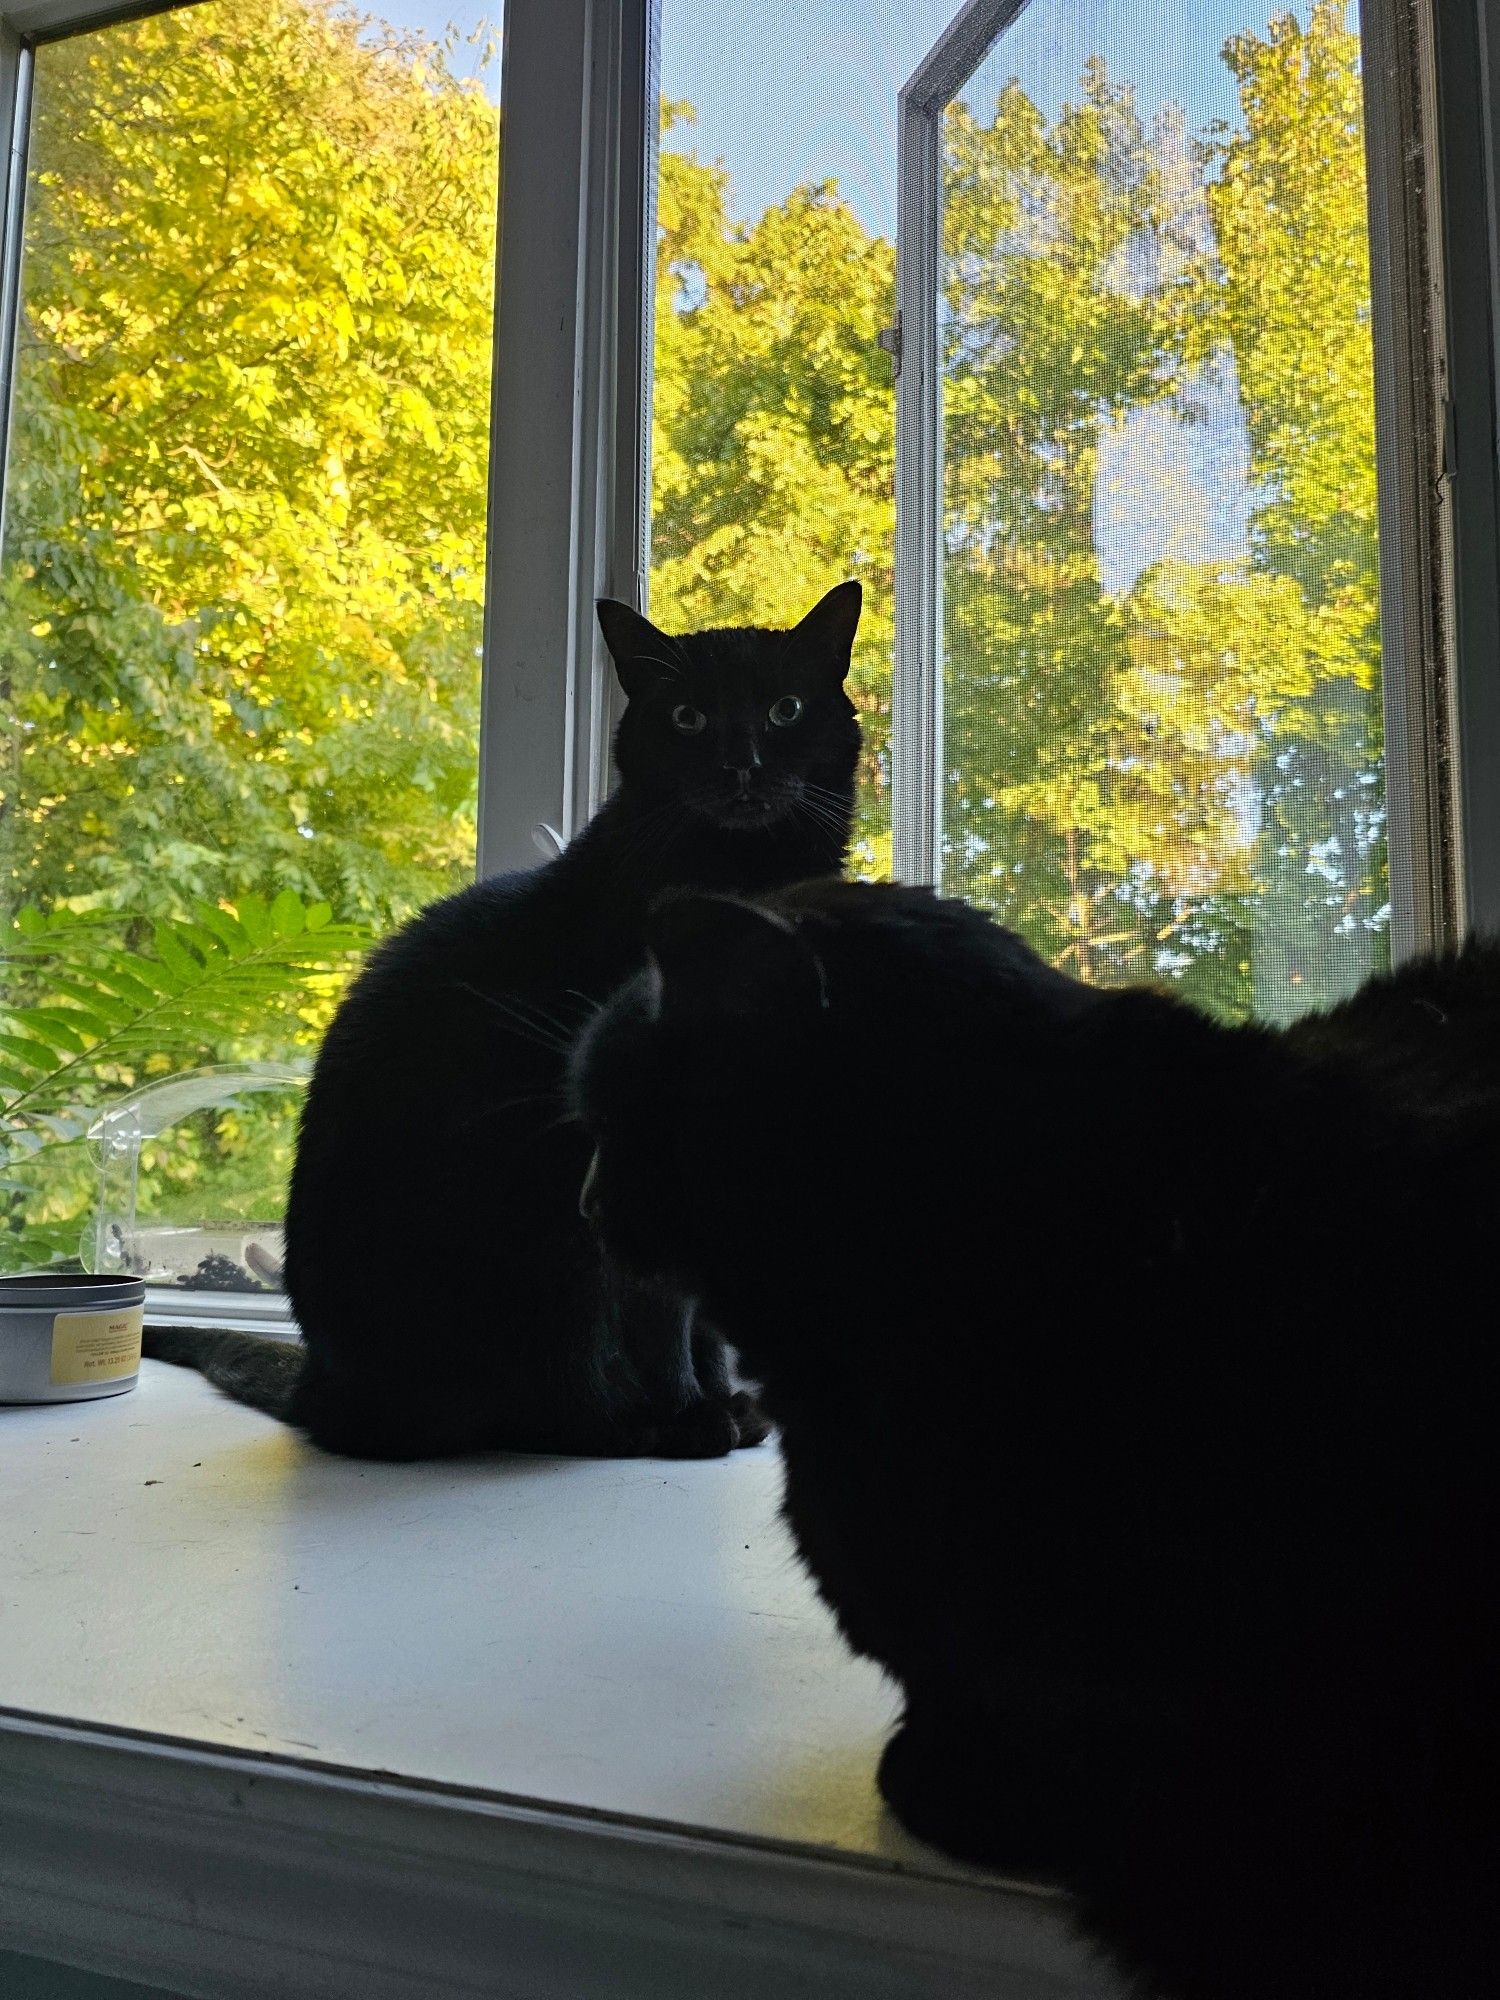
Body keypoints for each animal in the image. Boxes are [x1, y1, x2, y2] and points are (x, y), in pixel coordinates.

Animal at [150, 580, 868, 1456]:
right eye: (688, 716)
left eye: (786, 709)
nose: (743, 763)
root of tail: (321, 1385)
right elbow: (662, 1305)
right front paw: (692, 1413)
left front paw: (723, 1401)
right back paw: (639, 1425)